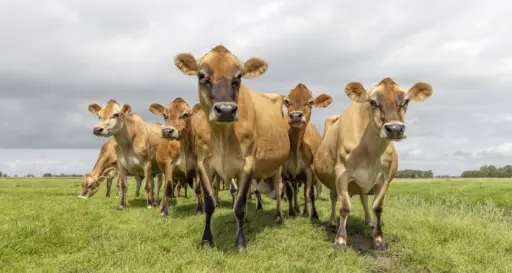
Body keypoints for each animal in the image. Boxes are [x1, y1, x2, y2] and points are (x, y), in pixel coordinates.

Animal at [174, 44, 290, 251]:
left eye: (239, 76)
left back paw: (278, 216)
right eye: (201, 75)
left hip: (279, 165)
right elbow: (210, 203)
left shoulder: (248, 163)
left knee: (278, 188)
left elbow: (241, 205)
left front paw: (241, 242)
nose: (226, 110)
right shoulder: (203, 164)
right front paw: (206, 240)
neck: (222, 136)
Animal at [280, 82, 332, 218]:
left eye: (310, 102)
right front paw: (292, 213)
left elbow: (310, 194)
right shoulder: (284, 171)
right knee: (295, 190)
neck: (297, 146)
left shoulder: (310, 171)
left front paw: (312, 214)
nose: (295, 116)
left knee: (306, 192)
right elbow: (289, 192)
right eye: (287, 101)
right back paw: (297, 208)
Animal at [312, 77, 432, 252]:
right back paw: (333, 222)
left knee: (363, 199)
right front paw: (340, 240)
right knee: (334, 198)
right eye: (373, 102)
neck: (370, 152)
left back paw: (369, 222)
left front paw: (379, 239)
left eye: (406, 101)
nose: (394, 128)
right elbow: (344, 207)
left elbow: (377, 207)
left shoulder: (384, 178)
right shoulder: (342, 174)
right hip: (332, 180)